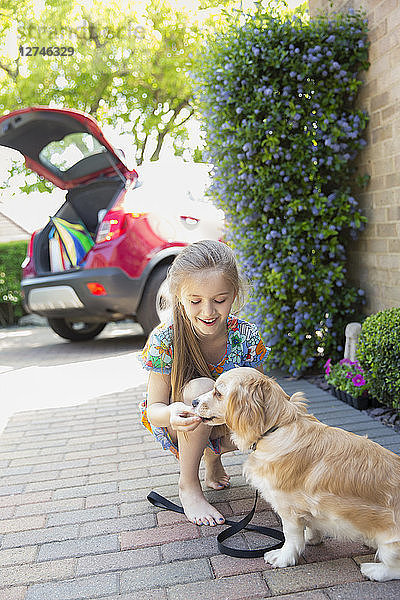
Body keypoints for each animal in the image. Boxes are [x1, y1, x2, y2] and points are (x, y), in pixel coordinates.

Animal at [191, 366, 400, 580]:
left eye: (218, 393)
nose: (193, 402)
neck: (275, 429)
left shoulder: (288, 507)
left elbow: (291, 536)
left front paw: (283, 557)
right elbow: (312, 525)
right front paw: (312, 537)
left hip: (390, 542)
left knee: (394, 568)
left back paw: (374, 570)